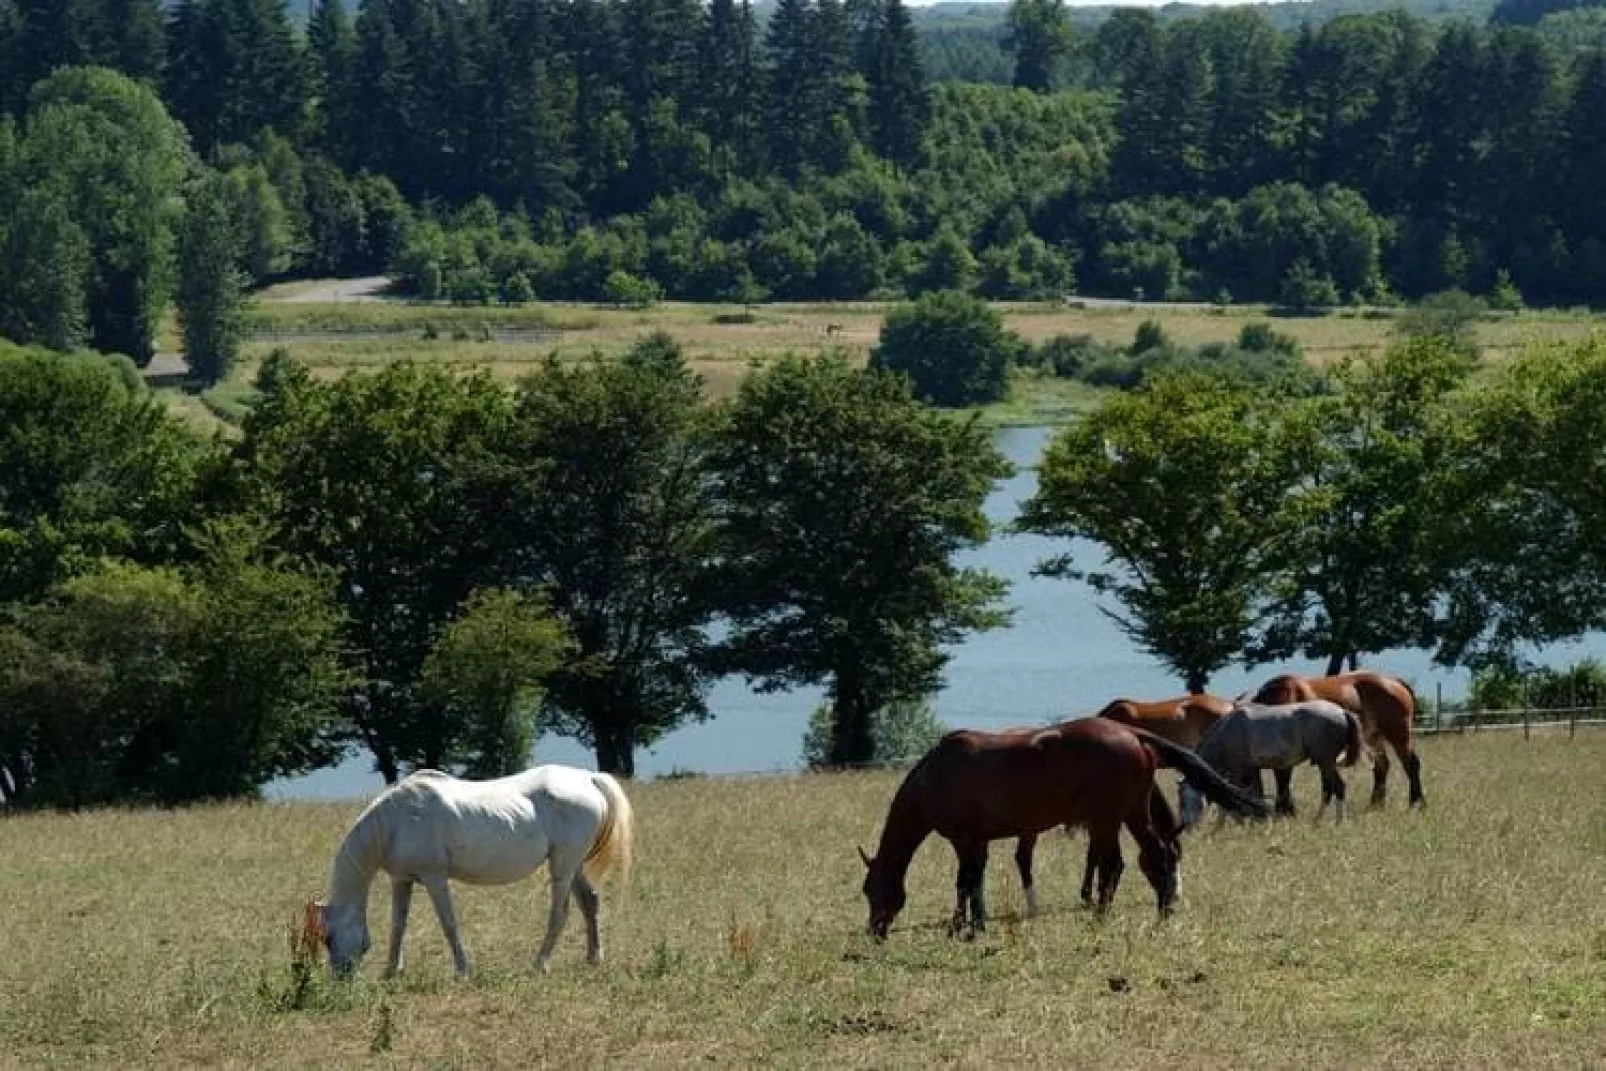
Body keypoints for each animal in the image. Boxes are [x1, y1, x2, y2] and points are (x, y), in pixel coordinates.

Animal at [313, 761, 632, 982]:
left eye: (328, 939)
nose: (340, 978)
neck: (396, 821)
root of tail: (588, 778)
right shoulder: (401, 880)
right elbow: (398, 926)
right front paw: (392, 971)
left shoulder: (435, 878)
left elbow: (449, 924)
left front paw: (462, 970)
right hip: (572, 864)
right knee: (590, 902)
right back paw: (593, 958)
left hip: (563, 865)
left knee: (560, 913)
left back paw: (540, 964)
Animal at [854, 719, 1265, 937]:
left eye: (869, 890)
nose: (875, 931)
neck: (936, 775)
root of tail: (1132, 734)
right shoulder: (979, 841)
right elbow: (976, 880)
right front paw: (977, 923)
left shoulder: (963, 839)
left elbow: (964, 881)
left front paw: (960, 927)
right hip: (1131, 813)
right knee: (1155, 854)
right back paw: (1161, 909)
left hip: (1107, 819)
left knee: (1115, 863)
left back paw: (1104, 914)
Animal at [1175, 700, 1361, 828]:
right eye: (1180, 801)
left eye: (1188, 800)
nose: (1187, 826)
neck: (1228, 730)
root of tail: (1341, 711)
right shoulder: (1251, 770)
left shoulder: (1241, 771)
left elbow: (1241, 796)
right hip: (1326, 764)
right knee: (1332, 789)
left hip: (1325, 762)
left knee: (1335, 788)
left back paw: (1329, 822)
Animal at [1246, 664, 1426, 809]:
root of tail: (1394, 681)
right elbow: (1282, 778)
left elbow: (1283, 778)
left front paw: (1285, 810)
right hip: (1373, 737)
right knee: (1382, 766)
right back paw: (1375, 805)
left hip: (1399, 735)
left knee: (1411, 765)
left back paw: (1417, 804)